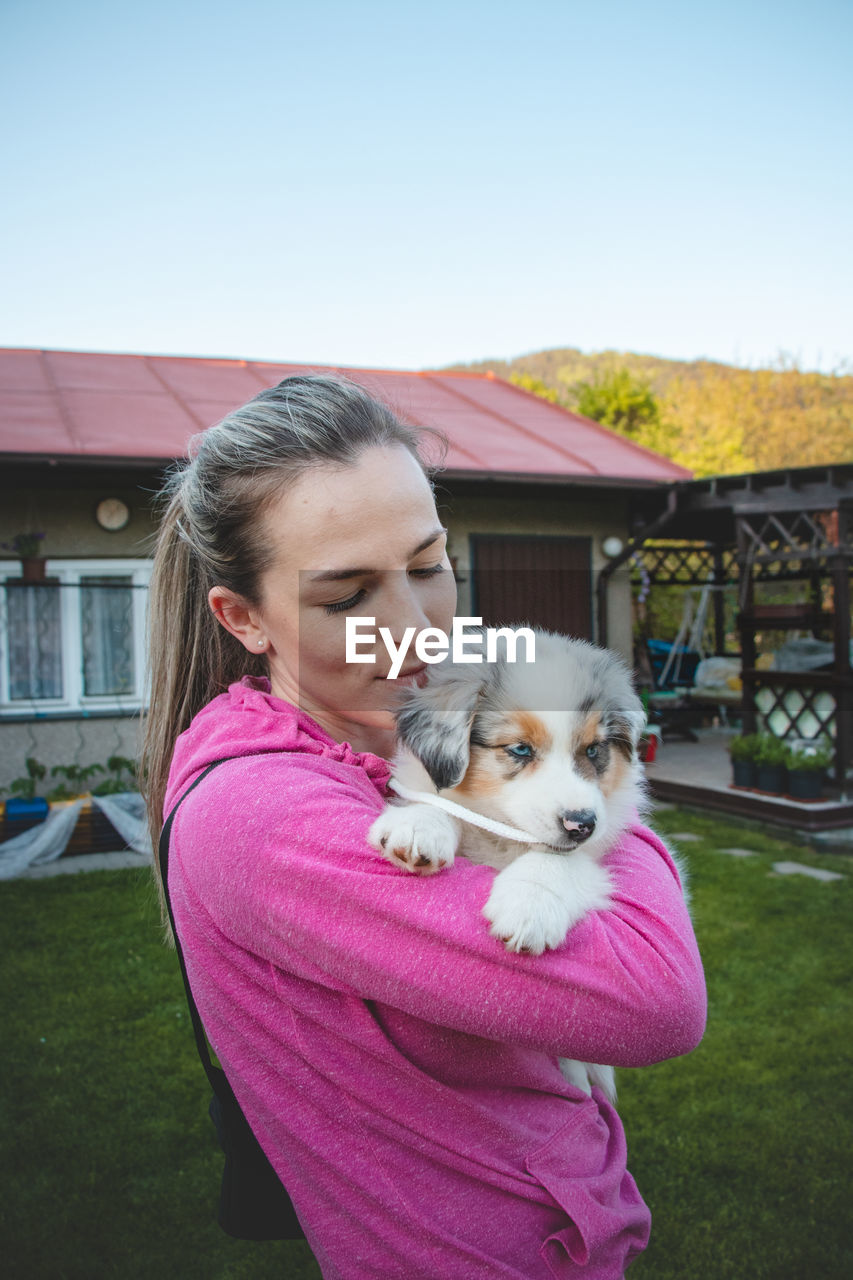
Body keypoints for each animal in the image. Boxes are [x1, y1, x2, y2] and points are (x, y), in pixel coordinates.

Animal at [361, 629, 648, 1100]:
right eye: (519, 749)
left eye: (593, 750)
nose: (582, 824)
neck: (505, 833)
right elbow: (442, 805)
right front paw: (418, 826)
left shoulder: (595, 852)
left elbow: (555, 861)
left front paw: (528, 910)